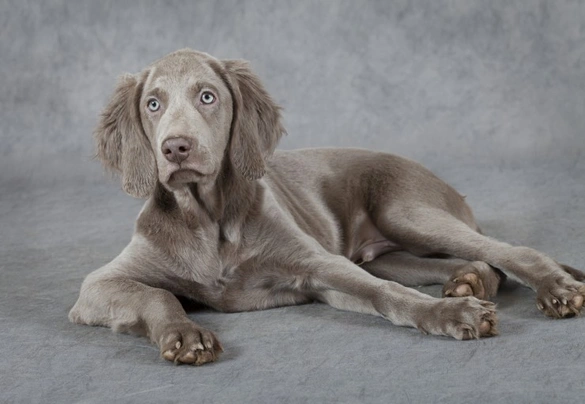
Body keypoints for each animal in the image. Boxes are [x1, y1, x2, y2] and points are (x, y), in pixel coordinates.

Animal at [69, 48, 584, 366]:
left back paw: (554, 290)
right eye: (153, 104)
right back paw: (468, 282)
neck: (208, 218)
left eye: (207, 97)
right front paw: (186, 335)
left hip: (405, 211)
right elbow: (158, 294)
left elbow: (386, 295)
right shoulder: (98, 286)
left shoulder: (318, 266)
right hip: (384, 253)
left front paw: (451, 316)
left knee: (509, 251)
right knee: (473, 261)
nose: (175, 148)